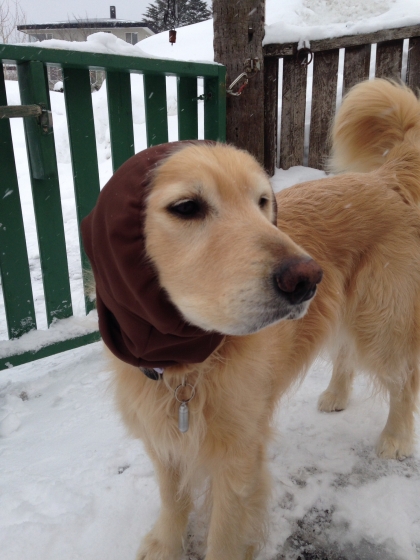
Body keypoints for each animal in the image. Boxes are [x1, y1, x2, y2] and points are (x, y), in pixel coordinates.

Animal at [82, 79, 420, 560]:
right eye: (186, 207)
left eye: (262, 202)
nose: (307, 278)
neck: (188, 366)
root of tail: (385, 178)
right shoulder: (164, 440)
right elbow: (173, 498)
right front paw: (166, 543)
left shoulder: (238, 457)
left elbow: (224, 535)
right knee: (345, 353)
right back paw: (336, 395)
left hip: (381, 324)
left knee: (403, 381)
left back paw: (394, 438)